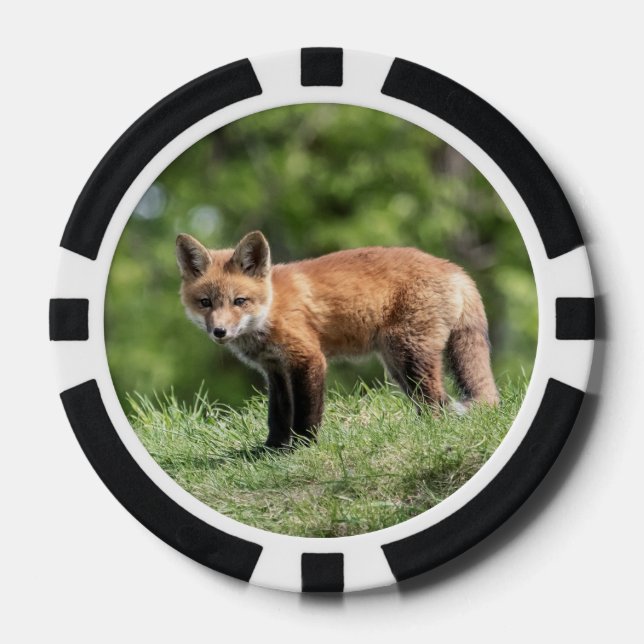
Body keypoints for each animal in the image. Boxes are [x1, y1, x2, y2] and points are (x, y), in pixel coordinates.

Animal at [176, 231, 499, 448]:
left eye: (239, 301)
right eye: (205, 303)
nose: (219, 332)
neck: (271, 308)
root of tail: (454, 268)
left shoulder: (308, 359)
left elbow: (306, 412)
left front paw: (302, 448)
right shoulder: (275, 369)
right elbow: (277, 415)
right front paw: (271, 450)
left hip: (408, 355)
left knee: (437, 402)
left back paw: (428, 433)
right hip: (397, 364)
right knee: (433, 400)